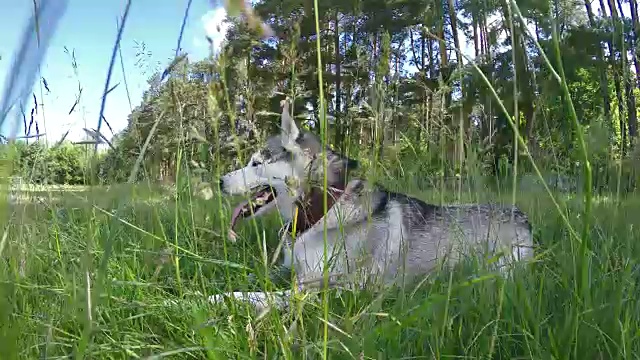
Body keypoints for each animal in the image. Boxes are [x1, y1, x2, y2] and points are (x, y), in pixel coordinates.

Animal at [211, 100, 536, 310]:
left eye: (255, 163)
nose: (220, 181)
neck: (324, 209)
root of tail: (522, 216)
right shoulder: (291, 271)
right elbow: (250, 275)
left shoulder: (332, 287)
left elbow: (261, 295)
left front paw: (213, 299)